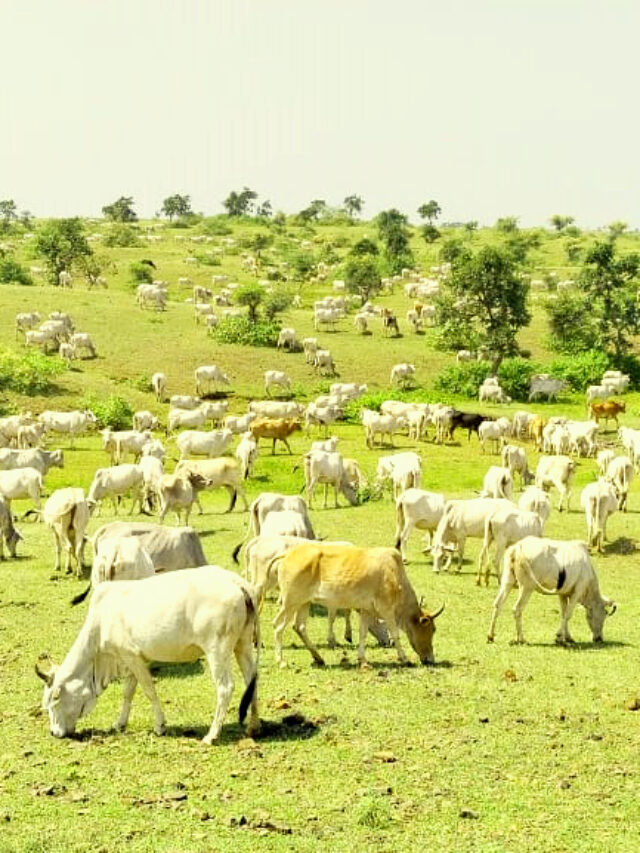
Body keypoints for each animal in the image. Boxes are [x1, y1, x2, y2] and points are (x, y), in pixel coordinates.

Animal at [35, 568, 258, 744]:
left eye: (54, 702)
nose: (54, 733)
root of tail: (236, 583)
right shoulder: (131, 659)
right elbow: (128, 692)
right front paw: (120, 723)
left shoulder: (131, 655)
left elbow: (149, 690)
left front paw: (160, 726)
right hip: (243, 644)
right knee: (251, 680)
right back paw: (253, 727)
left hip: (216, 650)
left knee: (225, 688)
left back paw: (212, 735)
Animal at [268, 544, 442, 668]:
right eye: (431, 629)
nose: (430, 659)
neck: (395, 573)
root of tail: (288, 555)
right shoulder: (386, 609)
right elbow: (395, 634)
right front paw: (405, 658)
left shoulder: (366, 610)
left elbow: (363, 633)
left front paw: (362, 659)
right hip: (290, 602)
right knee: (277, 626)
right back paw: (281, 661)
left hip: (304, 603)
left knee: (299, 627)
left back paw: (319, 658)